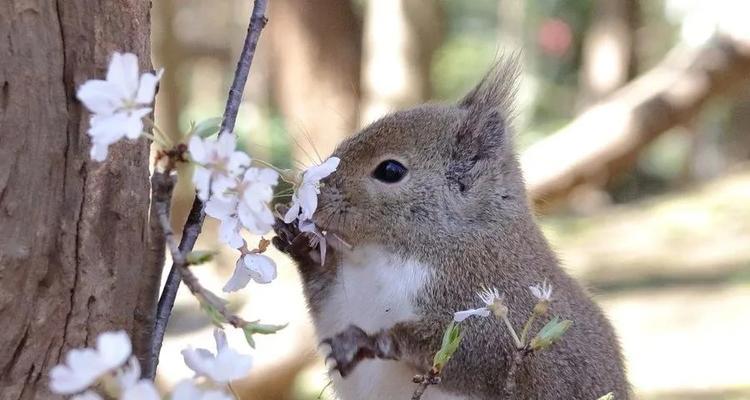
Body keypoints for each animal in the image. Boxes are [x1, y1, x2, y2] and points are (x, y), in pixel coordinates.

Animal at [274, 59, 632, 400]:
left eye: (390, 170)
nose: (314, 195)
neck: (384, 255)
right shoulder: (342, 297)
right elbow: (326, 303)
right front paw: (299, 243)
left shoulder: (499, 309)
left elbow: (469, 351)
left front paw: (371, 340)